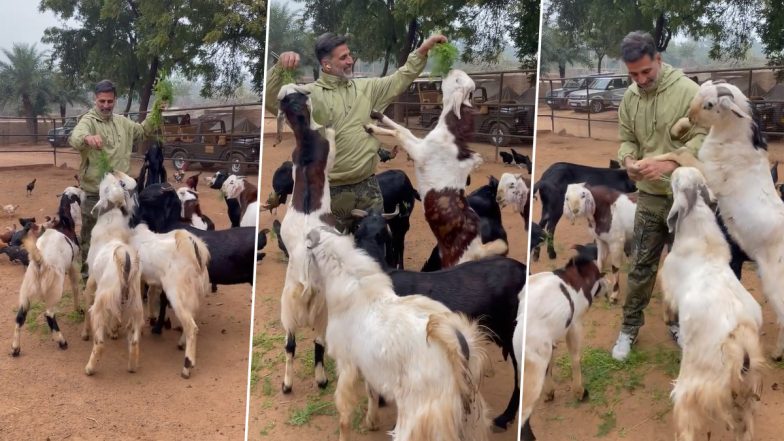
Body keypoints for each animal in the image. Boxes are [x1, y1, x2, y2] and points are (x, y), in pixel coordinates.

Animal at [10, 222, 81, 356]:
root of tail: (40, 261)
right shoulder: (73, 264)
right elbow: (75, 287)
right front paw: (79, 310)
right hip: (56, 289)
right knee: (49, 314)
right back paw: (62, 342)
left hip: (26, 290)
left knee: (20, 316)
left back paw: (15, 348)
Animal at [82, 172, 144, 374]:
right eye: (121, 183)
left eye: (107, 189)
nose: (108, 172)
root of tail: (124, 259)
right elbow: (115, 318)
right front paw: (114, 331)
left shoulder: (92, 282)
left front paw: (84, 333)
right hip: (135, 305)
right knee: (134, 342)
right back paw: (132, 367)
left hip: (101, 302)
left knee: (100, 343)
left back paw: (90, 368)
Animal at [362, 69, 506, 268]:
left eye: (457, 80)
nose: (451, 70)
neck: (449, 135)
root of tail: (478, 250)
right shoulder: (420, 143)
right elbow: (404, 129)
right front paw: (376, 114)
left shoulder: (419, 151)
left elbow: (399, 132)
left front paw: (370, 127)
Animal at [524, 254, 608, 440]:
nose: (607, 290)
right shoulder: (574, 324)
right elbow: (575, 357)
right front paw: (580, 392)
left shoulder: (549, 341)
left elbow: (550, 365)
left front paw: (550, 393)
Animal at [660, 166, 764, 440]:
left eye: (676, 180)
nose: (671, 172)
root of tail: (741, 343)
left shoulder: (669, 283)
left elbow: (667, 304)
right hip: (747, 392)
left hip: (692, 384)